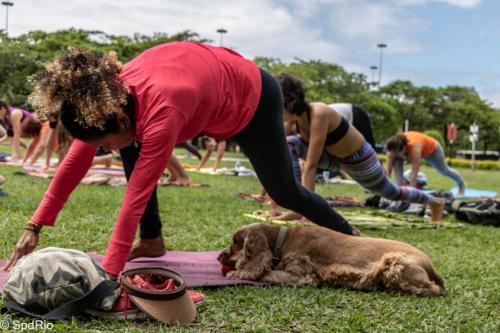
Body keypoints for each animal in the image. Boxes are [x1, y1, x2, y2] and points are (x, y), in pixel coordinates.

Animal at [219, 222, 446, 294]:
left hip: (396, 262)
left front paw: (236, 273)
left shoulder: (302, 274)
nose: (219, 257)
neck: (281, 240)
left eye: (233, 244)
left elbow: (269, 274)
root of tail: (432, 267)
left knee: (431, 289)